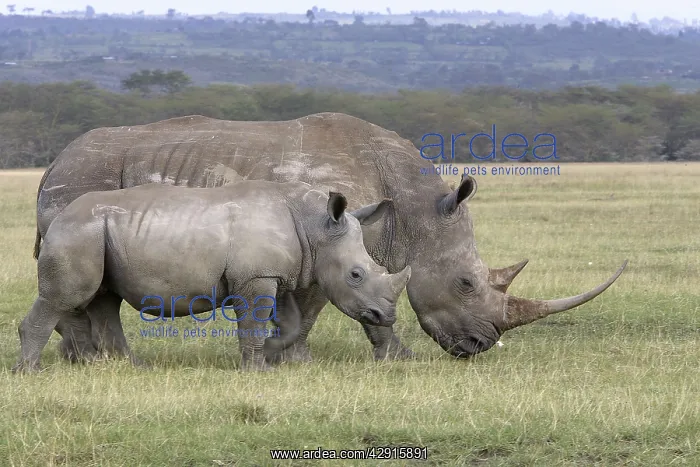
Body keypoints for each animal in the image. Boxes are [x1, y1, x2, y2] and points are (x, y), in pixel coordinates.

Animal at [13, 181, 411, 373]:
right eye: (356, 274)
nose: (385, 316)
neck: (315, 227)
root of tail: (56, 217)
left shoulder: (275, 275)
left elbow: (288, 322)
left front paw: (271, 356)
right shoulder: (255, 277)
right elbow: (253, 322)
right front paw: (256, 371)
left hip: (94, 234)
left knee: (102, 299)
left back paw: (126, 367)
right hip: (78, 233)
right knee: (66, 298)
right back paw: (31, 372)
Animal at [34, 112, 627, 362]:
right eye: (464, 284)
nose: (480, 347)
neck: (415, 210)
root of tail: (52, 162)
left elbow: (366, 300)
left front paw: (392, 360)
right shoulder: (329, 245)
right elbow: (324, 306)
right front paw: (302, 360)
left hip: (83, 183)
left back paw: (83, 360)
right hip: (81, 182)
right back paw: (86, 360)